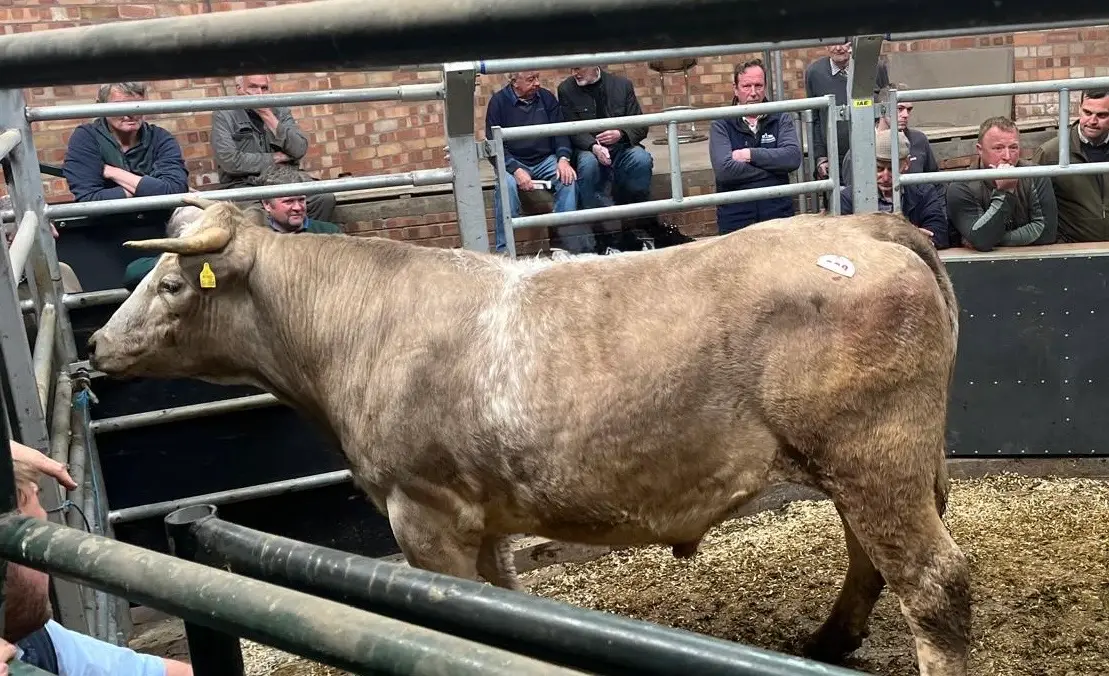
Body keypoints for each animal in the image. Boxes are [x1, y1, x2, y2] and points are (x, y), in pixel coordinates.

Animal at [87, 195, 969, 676]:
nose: (95, 345)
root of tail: (862, 228)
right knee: (870, 557)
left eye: (171, 284)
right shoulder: (479, 517)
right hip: (864, 463)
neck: (354, 331)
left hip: (873, 453)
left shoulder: (420, 510)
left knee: (933, 581)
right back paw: (827, 639)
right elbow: (505, 605)